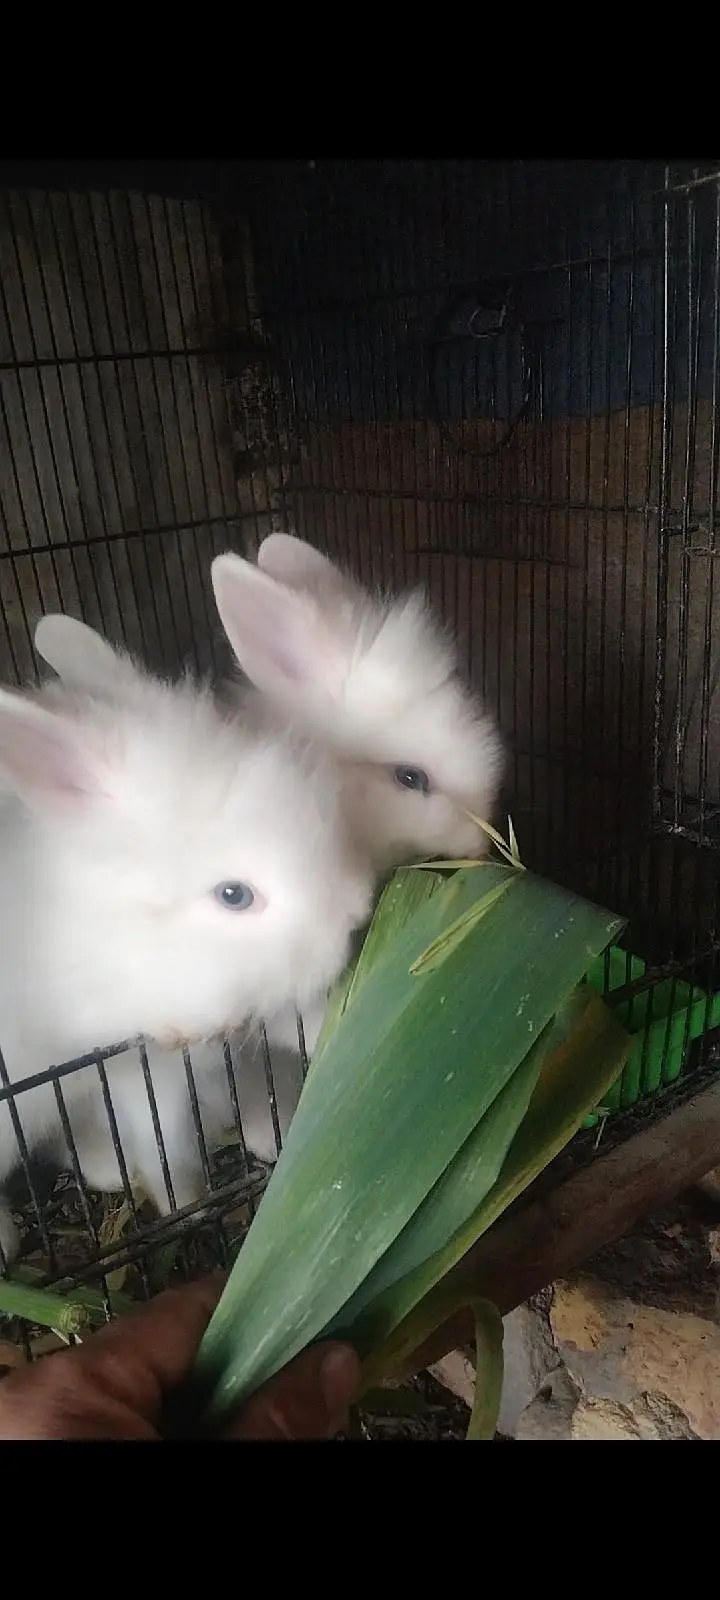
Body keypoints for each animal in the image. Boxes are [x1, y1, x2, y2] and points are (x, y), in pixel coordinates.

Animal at [0, 653, 373, 1262]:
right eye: (234, 895)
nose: (355, 912)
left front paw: (278, 1135)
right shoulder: (141, 1068)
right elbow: (165, 1145)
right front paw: (184, 1206)